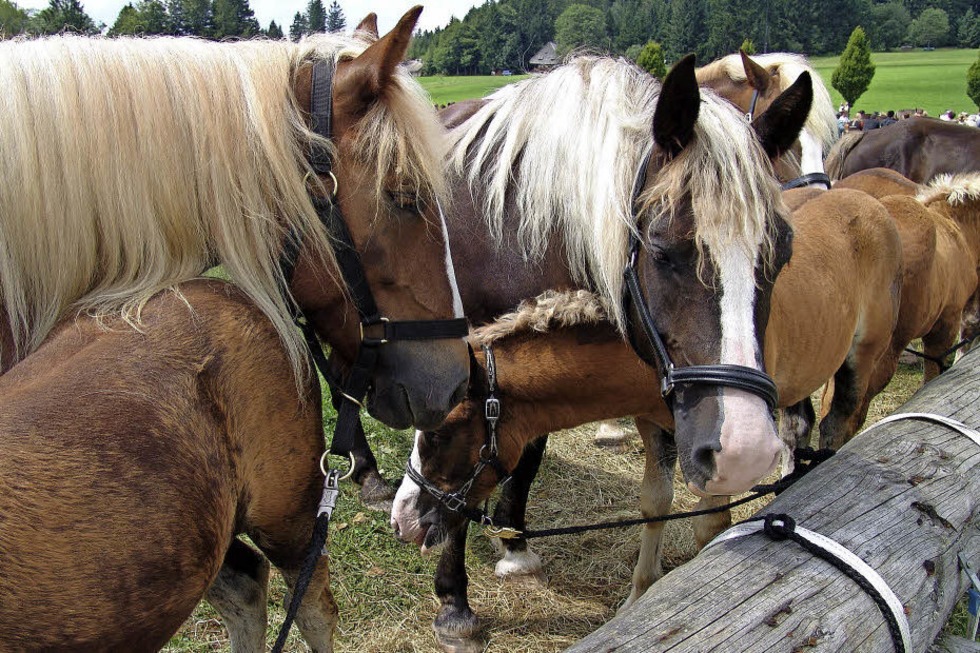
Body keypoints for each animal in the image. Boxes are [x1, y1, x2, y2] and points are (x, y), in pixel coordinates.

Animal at [392, 185, 904, 652]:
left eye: (439, 433)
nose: (401, 520)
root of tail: (868, 200)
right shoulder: (655, 427)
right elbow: (655, 503)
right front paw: (639, 597)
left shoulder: (726, 453)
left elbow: (709, 525)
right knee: (799, 427)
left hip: (862, 361)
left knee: (840, 426)